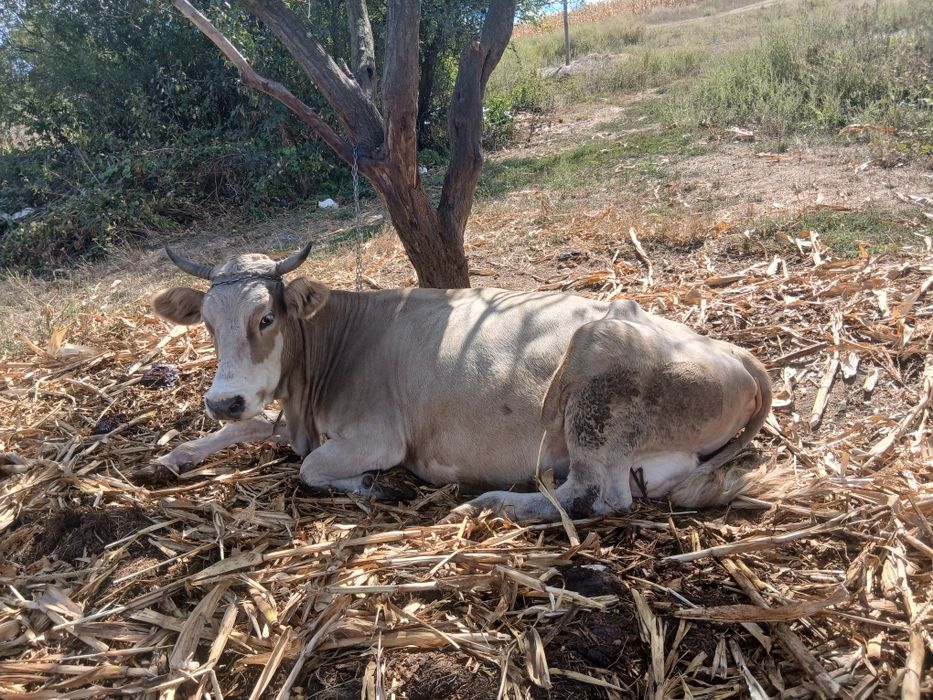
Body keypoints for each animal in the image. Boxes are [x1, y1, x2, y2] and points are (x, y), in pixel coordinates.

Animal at [151, 243, 773, 521]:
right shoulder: (287, 418)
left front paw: (377, 486)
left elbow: (312, 468)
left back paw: (490, 503)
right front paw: (171, 456)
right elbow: (248, 428)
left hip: (594, 380)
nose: (222, 398)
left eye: (266, 318)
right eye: (207, 324)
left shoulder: (378, 437)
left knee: (596, 495)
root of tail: (738, 353)